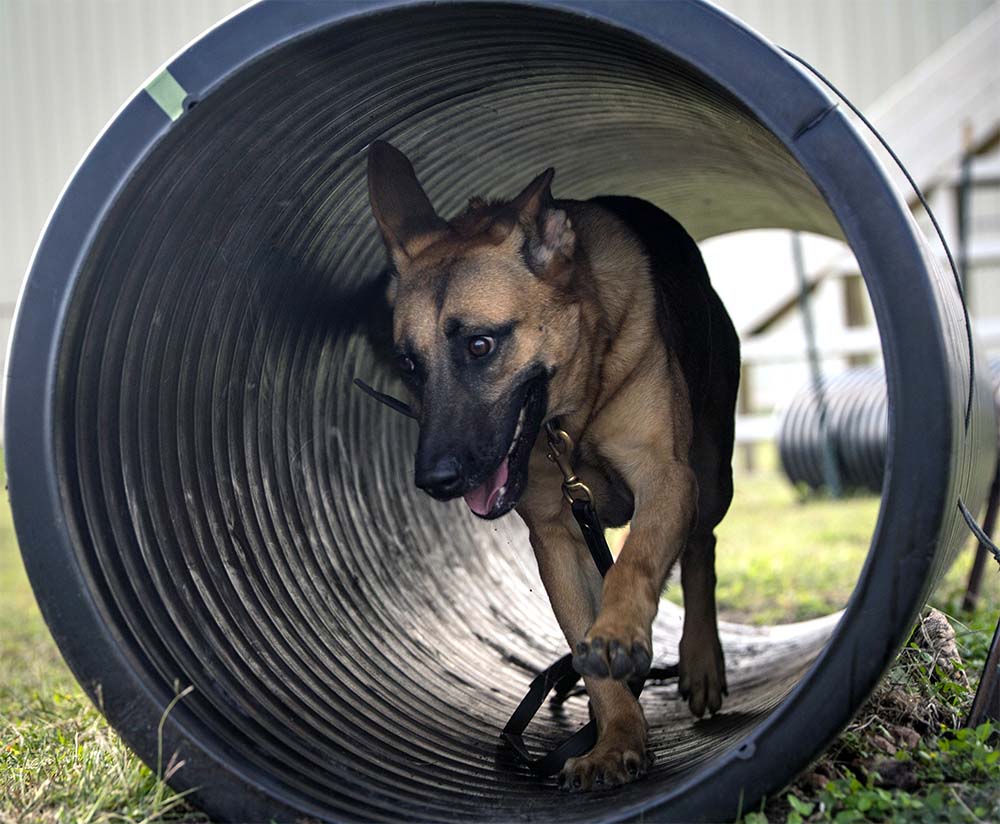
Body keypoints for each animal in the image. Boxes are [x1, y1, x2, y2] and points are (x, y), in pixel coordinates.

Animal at [370, 142, 744, 792]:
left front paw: (619, 633)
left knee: (701, 547)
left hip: (710, 476)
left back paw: (699, 660)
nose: (435, 481)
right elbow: (587, 652)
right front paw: (616, 738)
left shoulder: (666, 478)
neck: (572, 419)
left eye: (480, 345)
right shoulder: (557, 534)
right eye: (410, 364)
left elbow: (635, 563)